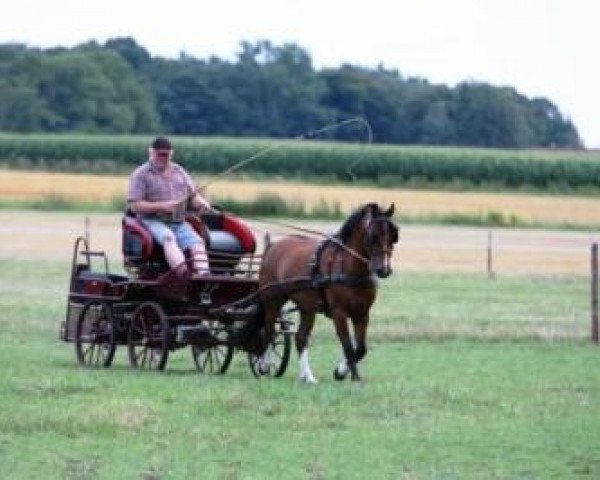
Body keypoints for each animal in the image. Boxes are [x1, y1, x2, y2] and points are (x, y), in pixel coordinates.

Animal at [258, 202, 398, 382]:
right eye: (373, 235)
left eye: (394, 236)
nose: (384, 269)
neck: (347, 267)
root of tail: (272, 246)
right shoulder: (339, 313)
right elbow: (348, 347)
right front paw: (353, 377)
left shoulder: (362, 313)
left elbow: (361, 349)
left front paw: (340, 371)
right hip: (272, 301)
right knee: (270, 333)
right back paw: (264, 365)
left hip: (307, 308)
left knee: (301, 338)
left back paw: (307, 377)